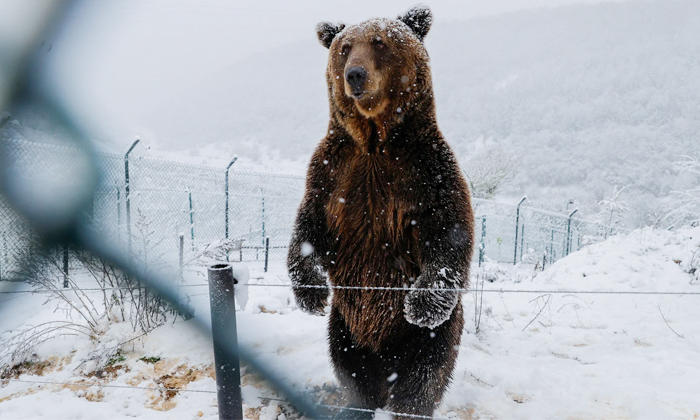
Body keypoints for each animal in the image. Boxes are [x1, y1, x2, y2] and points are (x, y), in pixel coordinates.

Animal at [287, 5, 474, 419]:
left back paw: (405, 404)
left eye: (380, 42)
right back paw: (357, 405)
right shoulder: (333, 172)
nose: (355, 74)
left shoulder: (427, 170)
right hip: (346, 322)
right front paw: (311, 292)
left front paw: (421, 304)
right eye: (344, 47)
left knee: (425, 374)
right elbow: (309, 225)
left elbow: (449, 230)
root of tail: (386, 357)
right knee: (350, 367)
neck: (375, 140)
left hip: (429, 337)